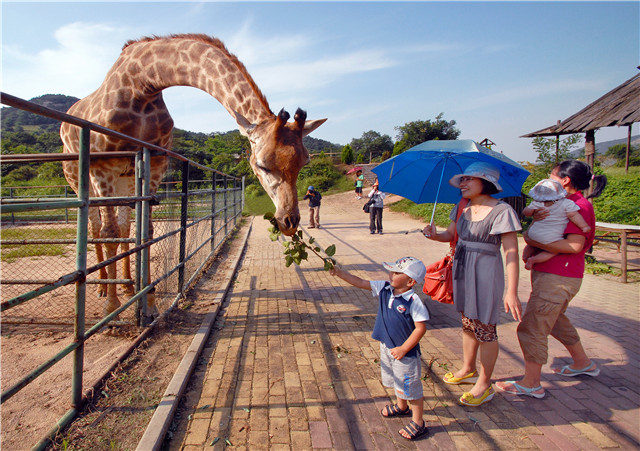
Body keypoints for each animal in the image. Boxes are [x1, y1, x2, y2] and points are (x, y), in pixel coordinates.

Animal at [60, 33, 324, 318]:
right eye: (262, 165)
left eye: (304, 163)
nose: (289, 222)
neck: (143, 84)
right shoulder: (104, 166)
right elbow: (108, 231)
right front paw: (111, 309)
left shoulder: (154, 165)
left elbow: (145, 232)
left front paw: (149, 304)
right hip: (79, 177)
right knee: (96, 226)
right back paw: (102, 288)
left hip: (125, 181)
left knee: (123, 227)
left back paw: (129, 287)